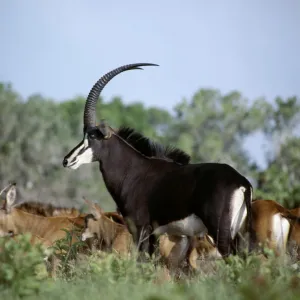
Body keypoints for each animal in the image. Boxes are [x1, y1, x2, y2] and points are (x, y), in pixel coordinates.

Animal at [62, 62, 253, 258]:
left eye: (92, 137)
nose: (67, 160)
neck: (133, 171)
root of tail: (242, 183)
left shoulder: (140, 228)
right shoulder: (154, 234)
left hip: (220, 232)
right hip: (237, 233)